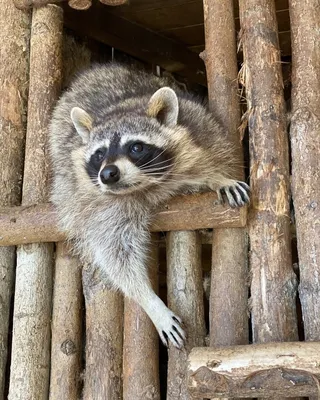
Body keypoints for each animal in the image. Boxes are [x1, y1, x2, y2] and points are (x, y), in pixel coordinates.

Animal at [50, 62, 250, 346]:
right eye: (99, 154)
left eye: (136, 147)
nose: (107, 174)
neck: (147, 185)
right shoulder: (99, 206)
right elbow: (116, 254)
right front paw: (151, 302)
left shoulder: (203, 133)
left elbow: (212, 162)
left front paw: (218, 178)